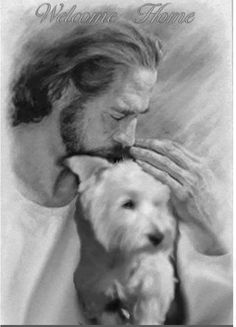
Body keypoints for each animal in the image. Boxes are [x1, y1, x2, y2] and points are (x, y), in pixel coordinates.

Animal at [67, 156, 177, 326]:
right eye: (128, 204)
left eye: (157, 204)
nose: (159, 237)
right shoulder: (94, 287)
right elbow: (104, 311)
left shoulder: (154, 279)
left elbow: (151, 297)